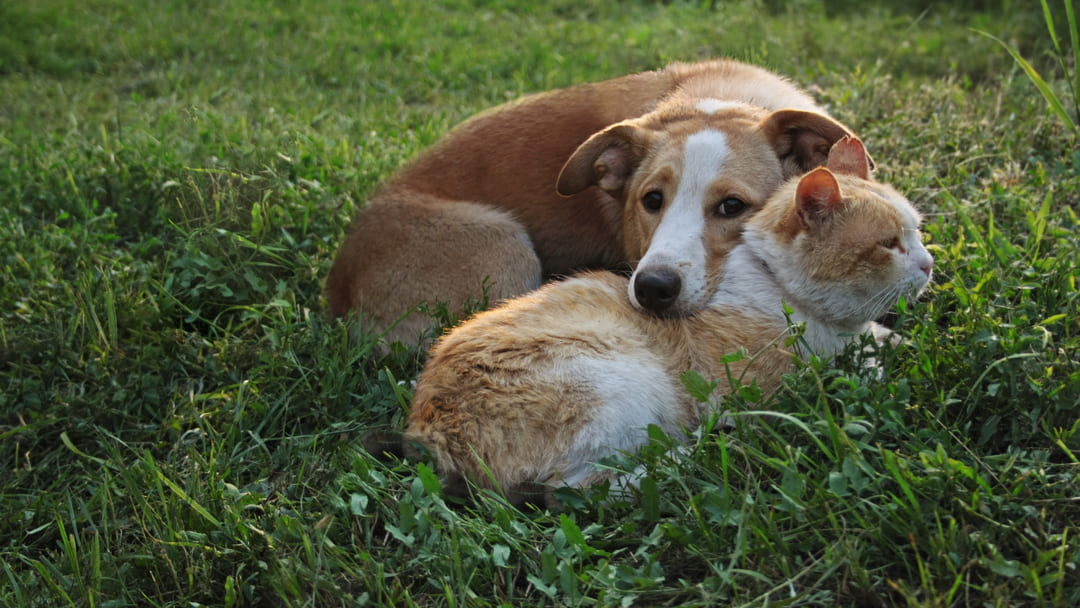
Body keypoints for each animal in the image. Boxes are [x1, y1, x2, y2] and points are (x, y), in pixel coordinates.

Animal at [321, 61, 868, 349]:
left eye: (732, 206)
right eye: (651, 200)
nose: (651, 289)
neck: (720, 104)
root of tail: (337, 288)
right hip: (504, 246)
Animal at [401, 136, 933, 505]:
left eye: (917, 231)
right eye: (889, 244)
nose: (929, 264)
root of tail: (428, 432)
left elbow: (885, 341)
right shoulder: (770, 387)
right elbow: (862, 372)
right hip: (625, 382)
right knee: (574, 490)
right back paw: (699, 451)